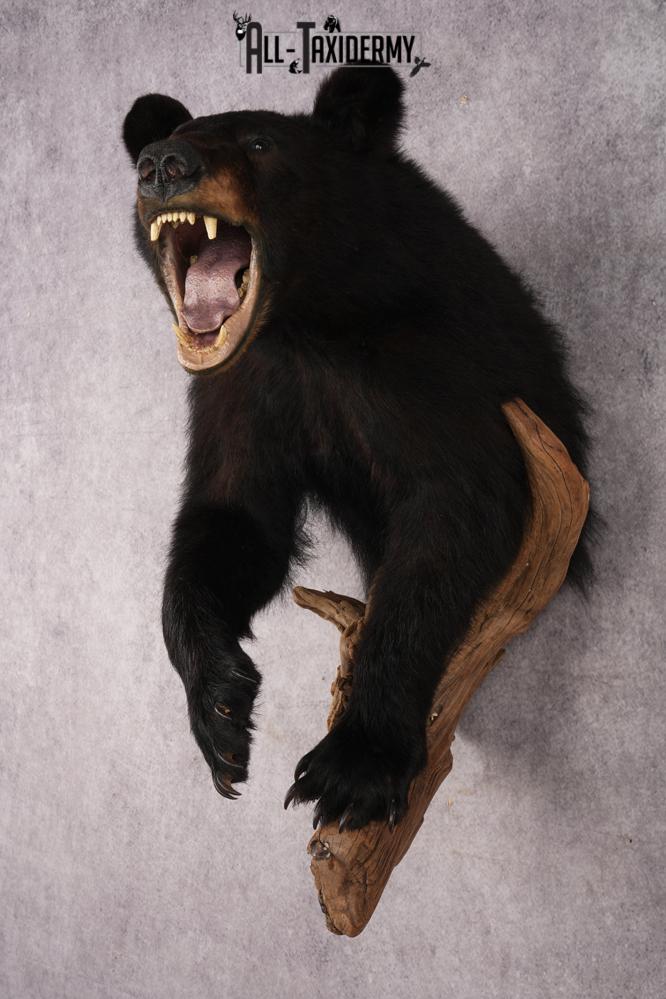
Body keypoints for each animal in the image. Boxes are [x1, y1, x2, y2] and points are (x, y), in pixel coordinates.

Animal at [122, 65, 598, 832]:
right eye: (165, 140)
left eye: (261, 144)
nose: (163, 164)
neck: (306, 324)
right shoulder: (244, 386)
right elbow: (234, 518)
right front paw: (220, 711)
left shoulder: (432, 365)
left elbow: (453, 511)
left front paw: (354, 765)